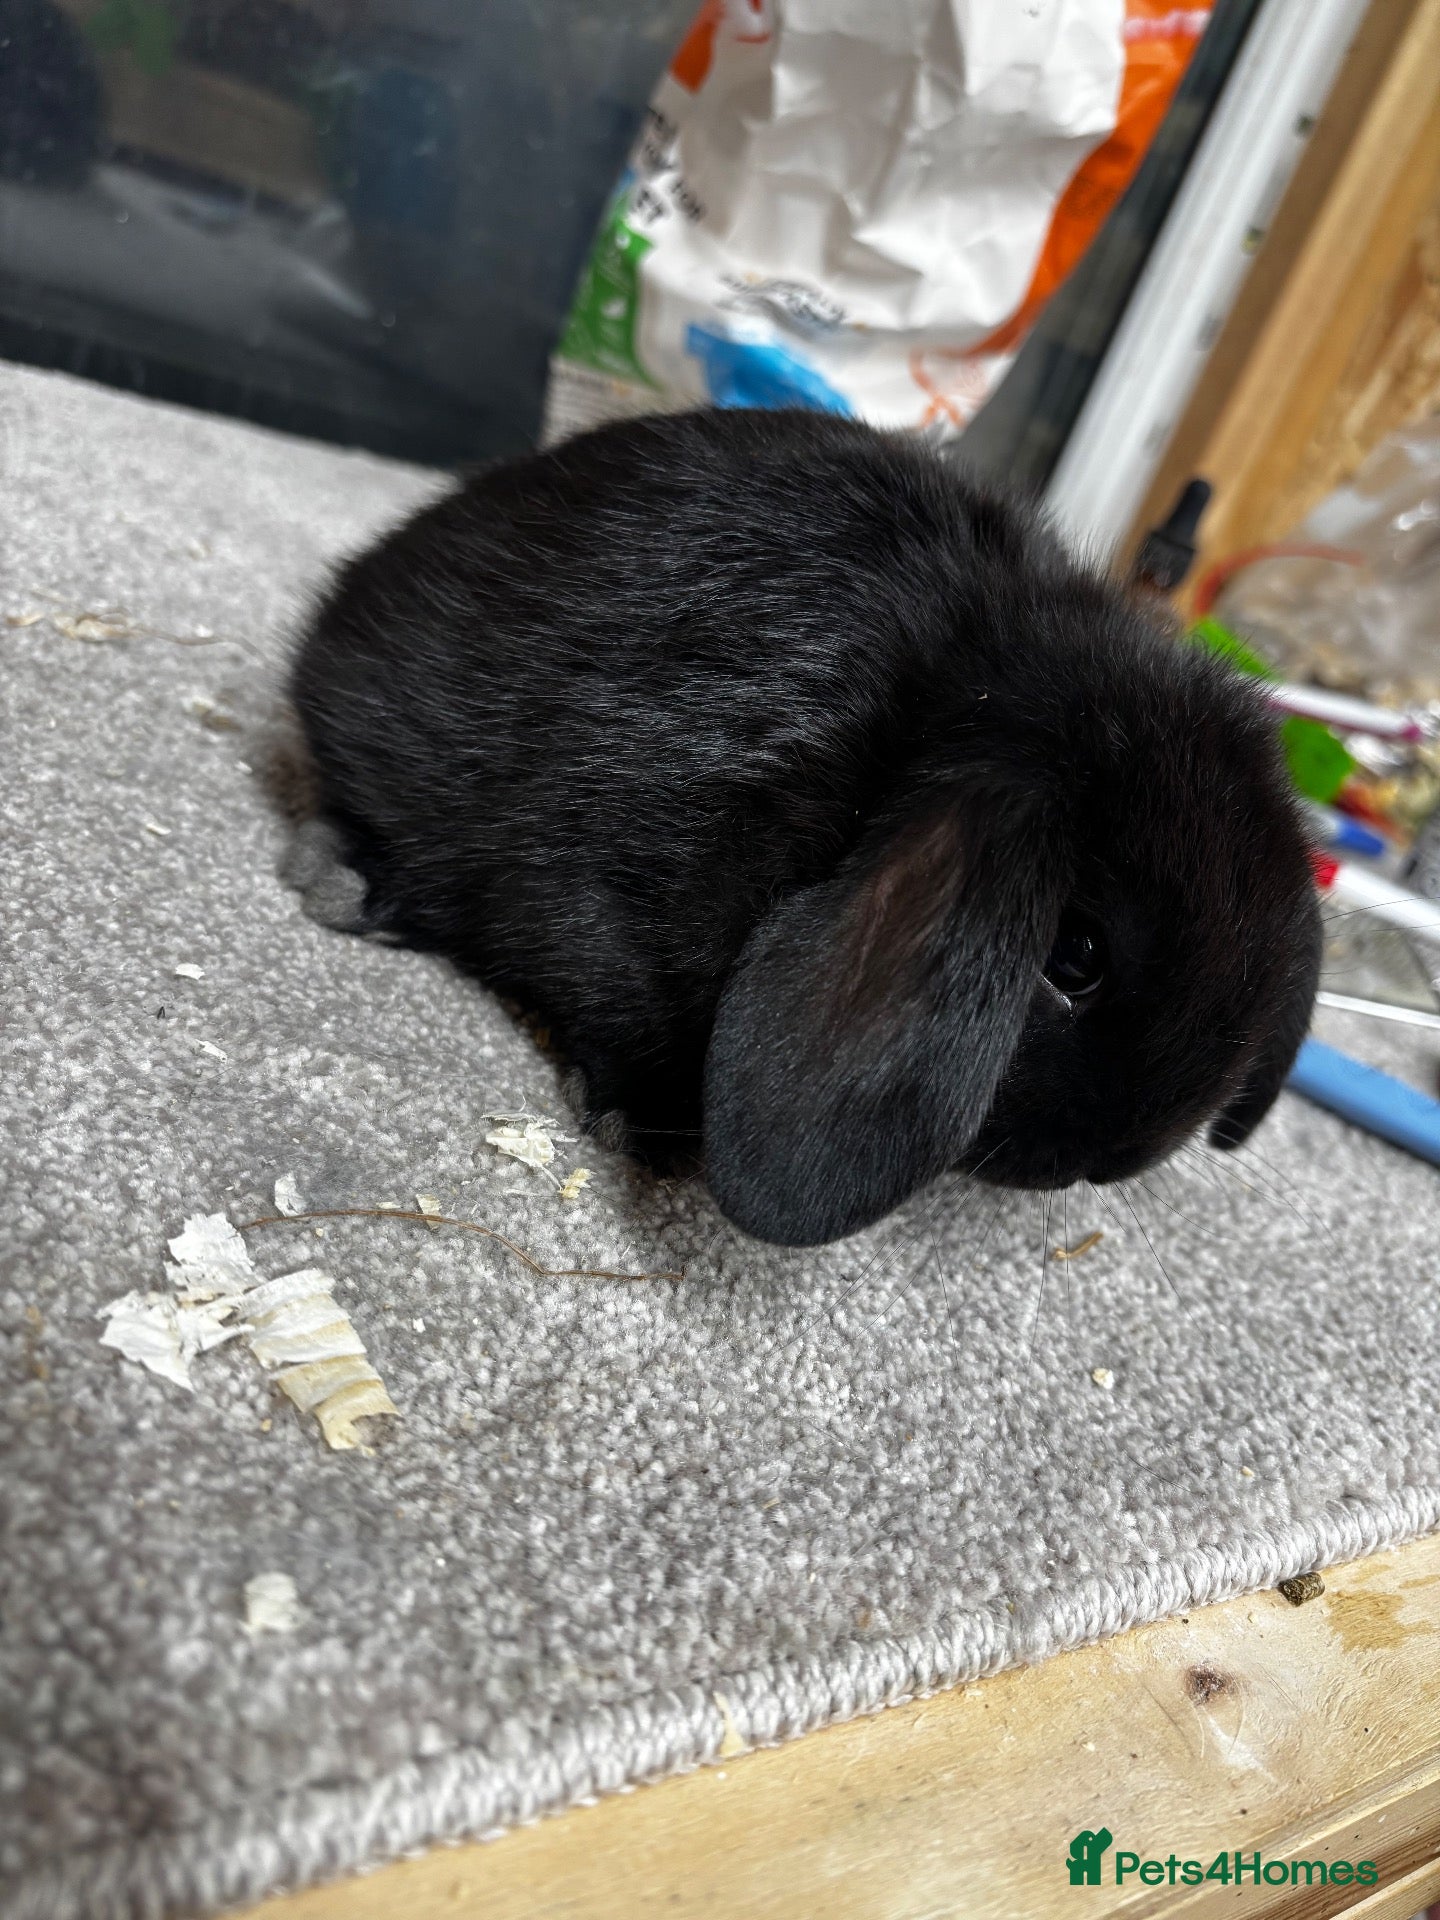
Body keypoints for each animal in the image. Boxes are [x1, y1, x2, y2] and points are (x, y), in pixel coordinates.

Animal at [288, 407, 1321, 1247]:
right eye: (1074, 956)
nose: (1116, 1160)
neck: (921, 714)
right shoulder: (605, 887)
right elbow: (601, 986)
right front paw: (648, 1127)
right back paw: (340, 878)